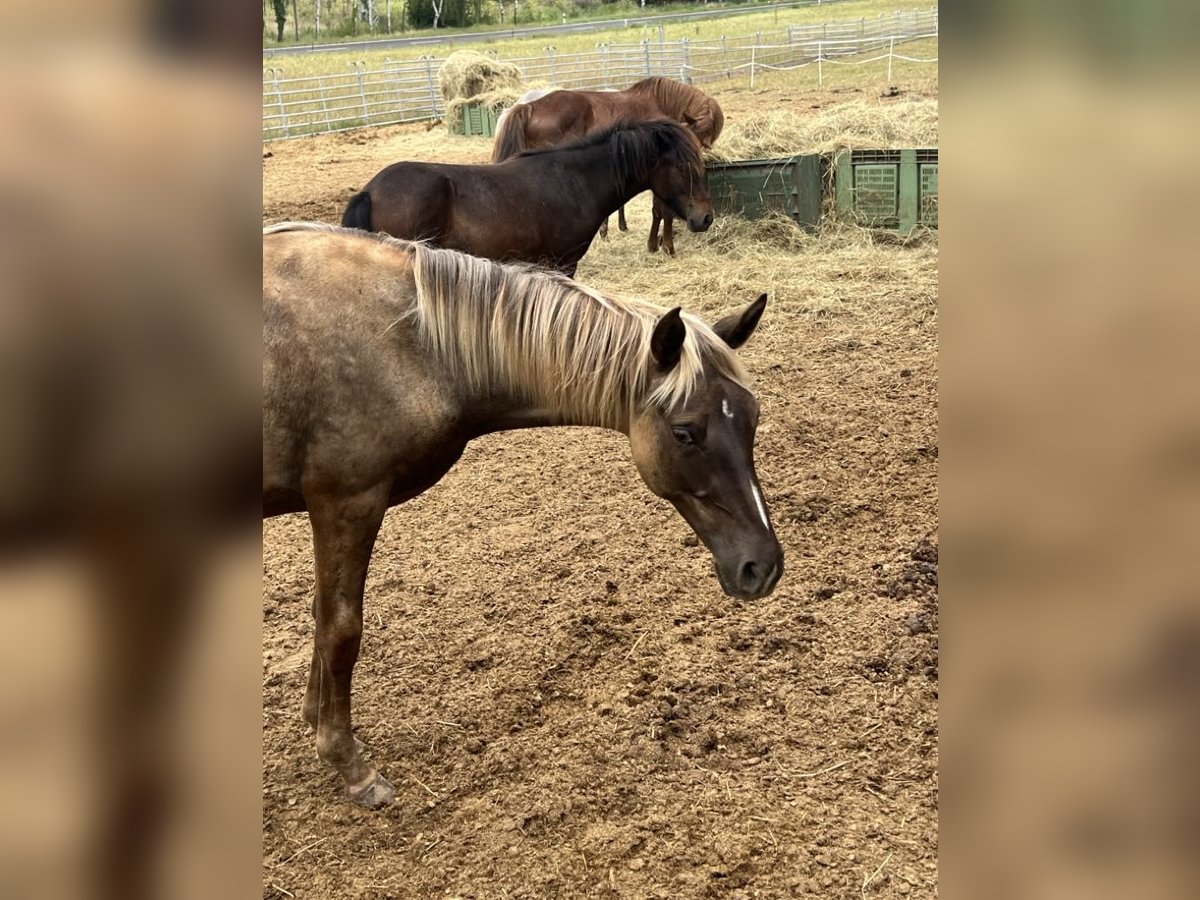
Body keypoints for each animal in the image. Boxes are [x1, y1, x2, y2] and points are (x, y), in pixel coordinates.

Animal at [261, 224, 782, 811]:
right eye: (686, 432)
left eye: (753, 417)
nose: (762, 565)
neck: (411, 343)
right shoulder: (347, 503)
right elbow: (341, 629)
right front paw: (348, 762)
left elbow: (322, 615)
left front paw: (316, 721)